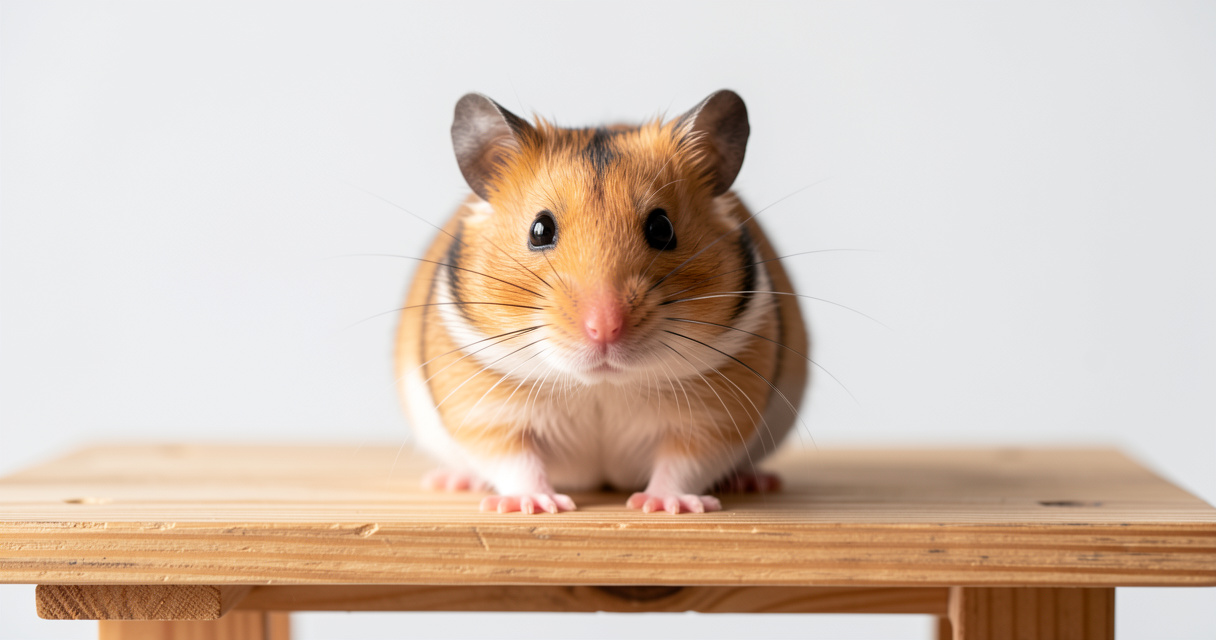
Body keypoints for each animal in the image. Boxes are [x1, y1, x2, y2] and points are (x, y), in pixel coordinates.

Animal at [395, 90, 808, 514]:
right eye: (539, 230)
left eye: (662, 228)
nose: (605, 329)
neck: (601, 385)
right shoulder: (486, 411)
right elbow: (515, 460)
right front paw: (535, 506)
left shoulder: (715, 418)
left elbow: (682, 464)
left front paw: (664, 506)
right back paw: (454, 481)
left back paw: (755, 481)